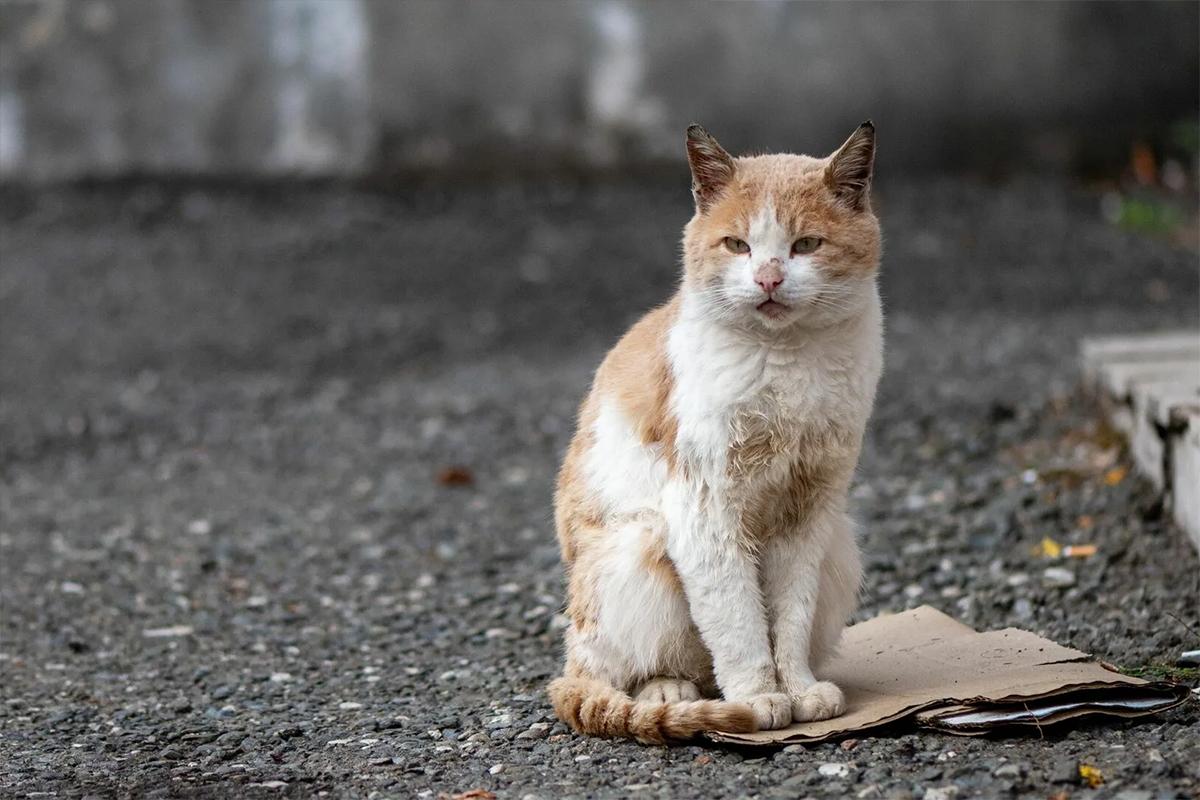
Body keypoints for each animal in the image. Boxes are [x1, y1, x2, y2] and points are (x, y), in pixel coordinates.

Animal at [547, 123, 883, 743]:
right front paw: (757, 697)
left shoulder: (809, 510)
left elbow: (789, 617)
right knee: (637, 673)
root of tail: (569, 662)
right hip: (641, 543)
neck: (784, 363)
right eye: (738, 245)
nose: (769, 277)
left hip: (840, 545)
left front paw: (797, 688)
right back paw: (670, 692)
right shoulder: (704, 510)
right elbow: (737, 619)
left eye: (806, 246)